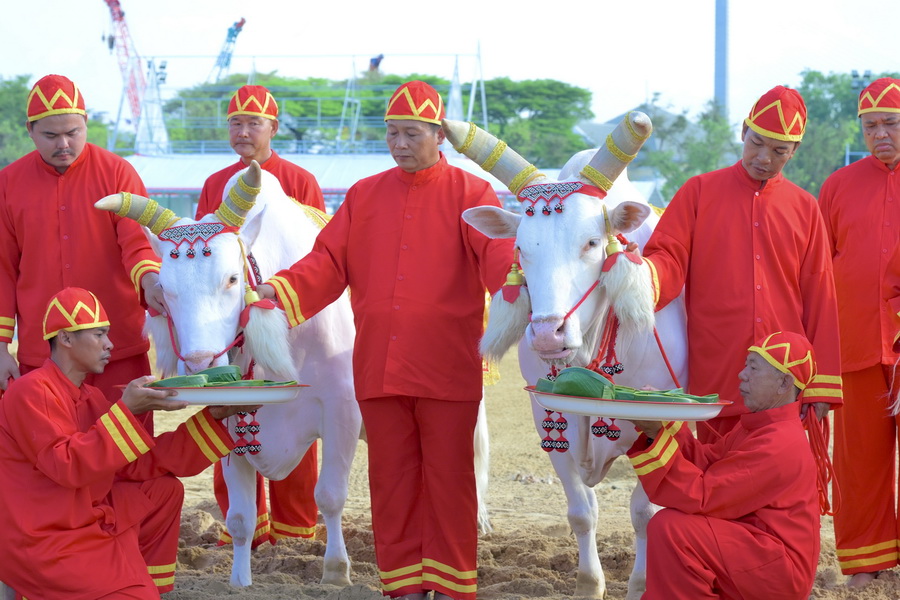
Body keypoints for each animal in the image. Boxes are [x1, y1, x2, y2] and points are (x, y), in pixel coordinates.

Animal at [448, 112, 688, 600]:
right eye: (521, 248)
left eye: (594, 243)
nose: (546, 334)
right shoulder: (548, 420)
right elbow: (581, 511)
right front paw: (589, 584)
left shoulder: (663, 419)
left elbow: (644, 512)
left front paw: (641, 584)